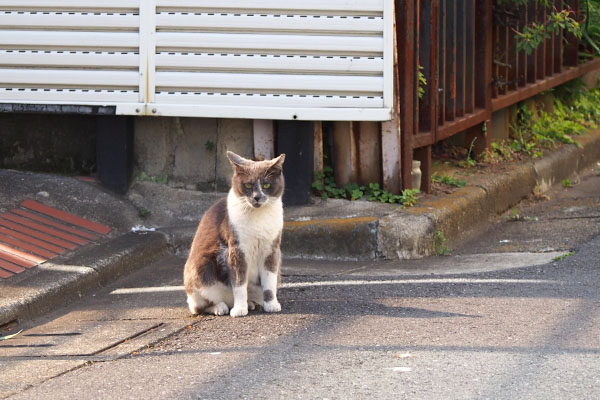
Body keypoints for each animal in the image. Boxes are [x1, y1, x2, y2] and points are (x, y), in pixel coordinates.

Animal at [183, 152, 286, 318]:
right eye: (248, 185)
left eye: (266, 185)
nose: (257, 197)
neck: (258, 216)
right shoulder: (236, 250)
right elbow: (239, 283)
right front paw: (239, 309)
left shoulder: (272, 249)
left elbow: (269, 281)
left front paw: (271, 304)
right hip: (199, 267)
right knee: (199, 307)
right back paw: (220, 307)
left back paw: (250, 303)